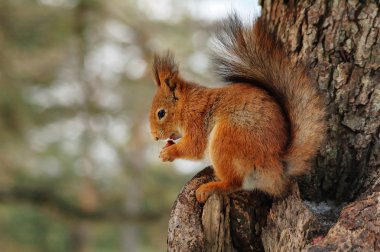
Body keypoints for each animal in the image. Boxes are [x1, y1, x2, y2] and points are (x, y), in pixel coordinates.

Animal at [148, 14, 326, 203]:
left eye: (161, 113)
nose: (154, 137)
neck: (187, 104)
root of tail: (276, 168)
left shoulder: (196, 120)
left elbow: (194, 146)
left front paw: (168, 153)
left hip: (227, 138)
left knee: (234, 182)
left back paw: (209, 187)